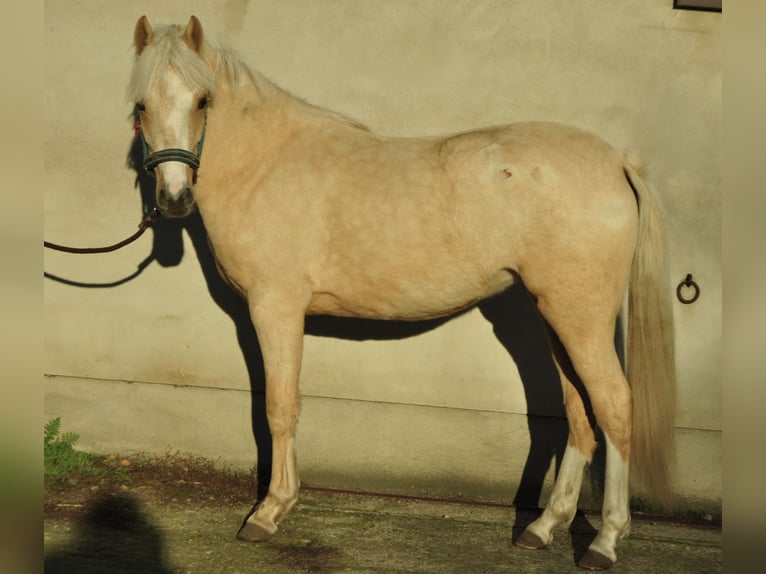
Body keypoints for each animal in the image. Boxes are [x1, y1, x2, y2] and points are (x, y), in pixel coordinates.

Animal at [127, 14, 680, 572]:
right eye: (141, 105)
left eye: (203, 101)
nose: (174, 199)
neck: (265, 164)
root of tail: (618, 163)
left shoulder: (275, 307)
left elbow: (280, 407)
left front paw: (269, 511)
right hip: (556, 316)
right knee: (579, 410)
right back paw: (543, 527)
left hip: (580, 318)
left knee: (614, 405)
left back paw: (605, 540)